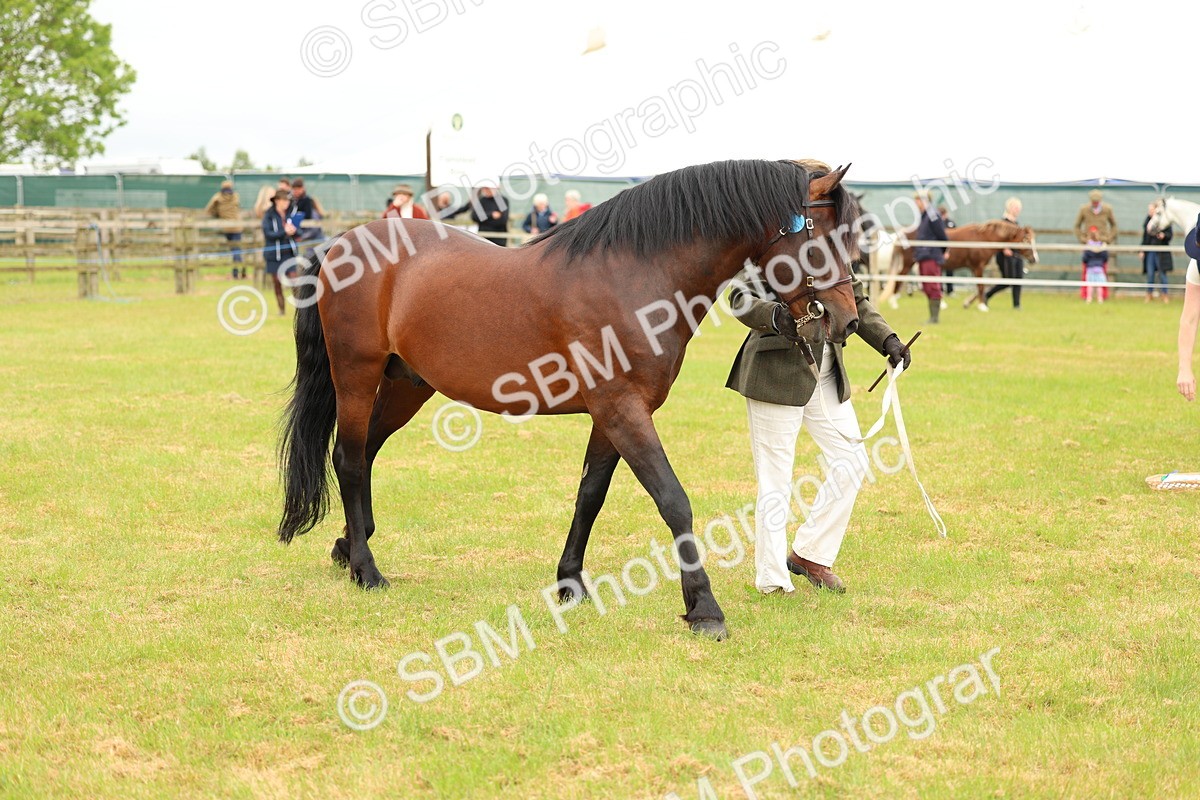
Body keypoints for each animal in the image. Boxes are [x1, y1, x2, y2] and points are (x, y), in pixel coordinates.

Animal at [276, 159, 862, 641]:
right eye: (821, 241)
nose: (846, 320)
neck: (633, 276)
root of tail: (340, 243)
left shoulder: (613, 414)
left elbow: (590, 495)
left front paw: (570, 583)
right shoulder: (622, 410)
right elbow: (673, 500)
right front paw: (705, 610)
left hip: (405, 385)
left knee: (366, 453)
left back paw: (347, 548)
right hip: (356, 375)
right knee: (350, 459)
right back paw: (367, 569)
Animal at [877, 220, 1038, 310]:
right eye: (1026, 240)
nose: (1034, 259)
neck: (983, 238)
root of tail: (902, 234)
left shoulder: (975, 268)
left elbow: (980, 287)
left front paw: (969, 303)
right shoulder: (978, 266)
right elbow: (981, 286)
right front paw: (981, 306)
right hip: (908, 263)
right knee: (899, 279)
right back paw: (894, 302)